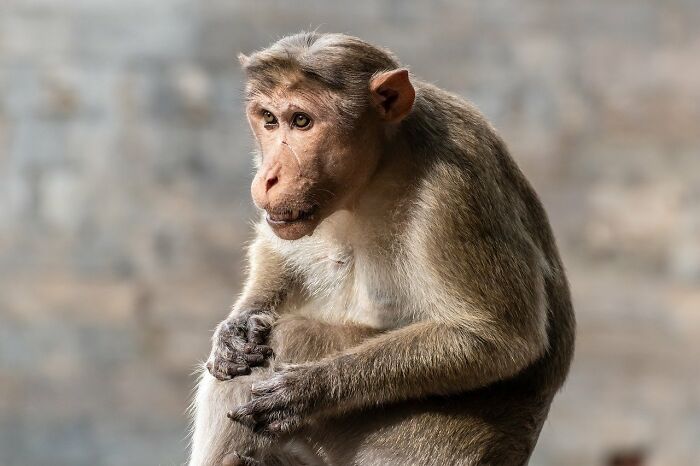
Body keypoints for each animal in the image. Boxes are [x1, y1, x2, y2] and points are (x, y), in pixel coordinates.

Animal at [189, 32, 575, 466]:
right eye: (269, 119)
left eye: (301, 121)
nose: (268, 177)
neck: (381, 166)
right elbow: (278, 252)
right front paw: (235, 329)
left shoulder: (457, 188)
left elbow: (501, 338)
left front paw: (308, 390)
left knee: (288, 337)